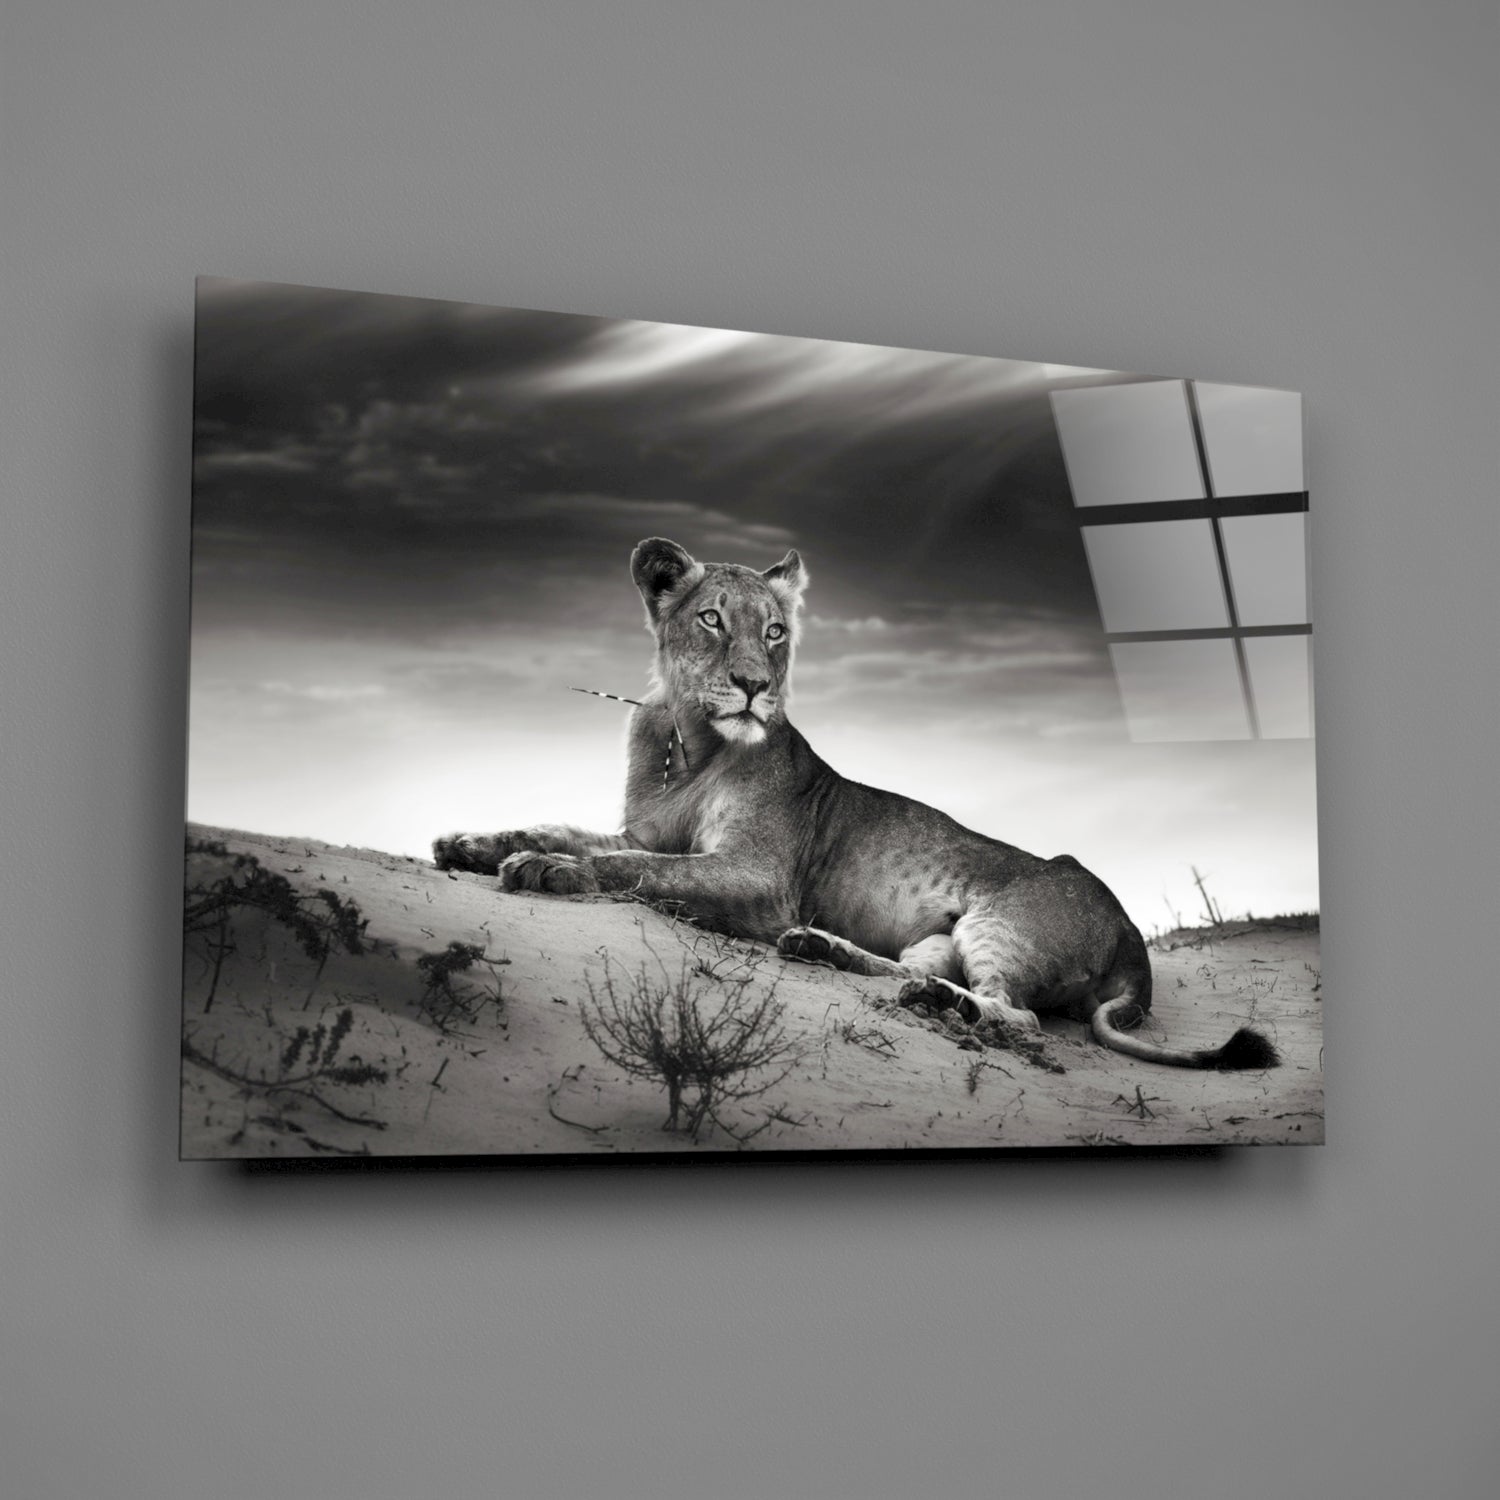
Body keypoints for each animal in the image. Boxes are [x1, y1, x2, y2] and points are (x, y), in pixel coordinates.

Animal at [434, 537, 1278, 1071]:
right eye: (711, 619)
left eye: (776, 632)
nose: (754, 686)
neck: (691, 744)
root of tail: (1134, 938)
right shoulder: (645, 831)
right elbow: (569, 830)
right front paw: (470, 844)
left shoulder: (758, 879)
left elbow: (637, 871)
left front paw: (544, 870)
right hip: (941, 937)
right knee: (910, 970)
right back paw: (827, 951)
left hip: (1001, 925)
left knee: (1020, 1016)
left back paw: (940, 1005)